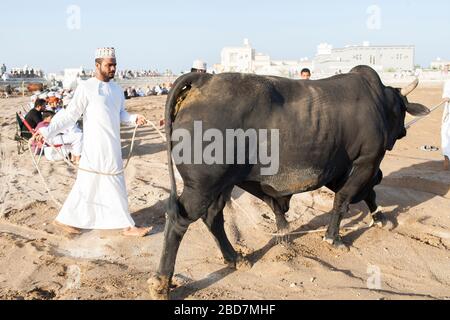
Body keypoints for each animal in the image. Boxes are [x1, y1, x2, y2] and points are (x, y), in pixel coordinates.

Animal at [147, 65, 428, 300]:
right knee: (179, 219)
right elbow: (345, 198)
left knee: (213, 216)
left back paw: (234, 258)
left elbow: (367, 193)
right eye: (402, 111)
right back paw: (161, 283)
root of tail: (204, 79)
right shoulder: (366, 161)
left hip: (222, 183)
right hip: (202, 185)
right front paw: (334, 237)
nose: (403, 132)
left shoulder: (341, 167)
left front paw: (379, 218)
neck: (378, 101)